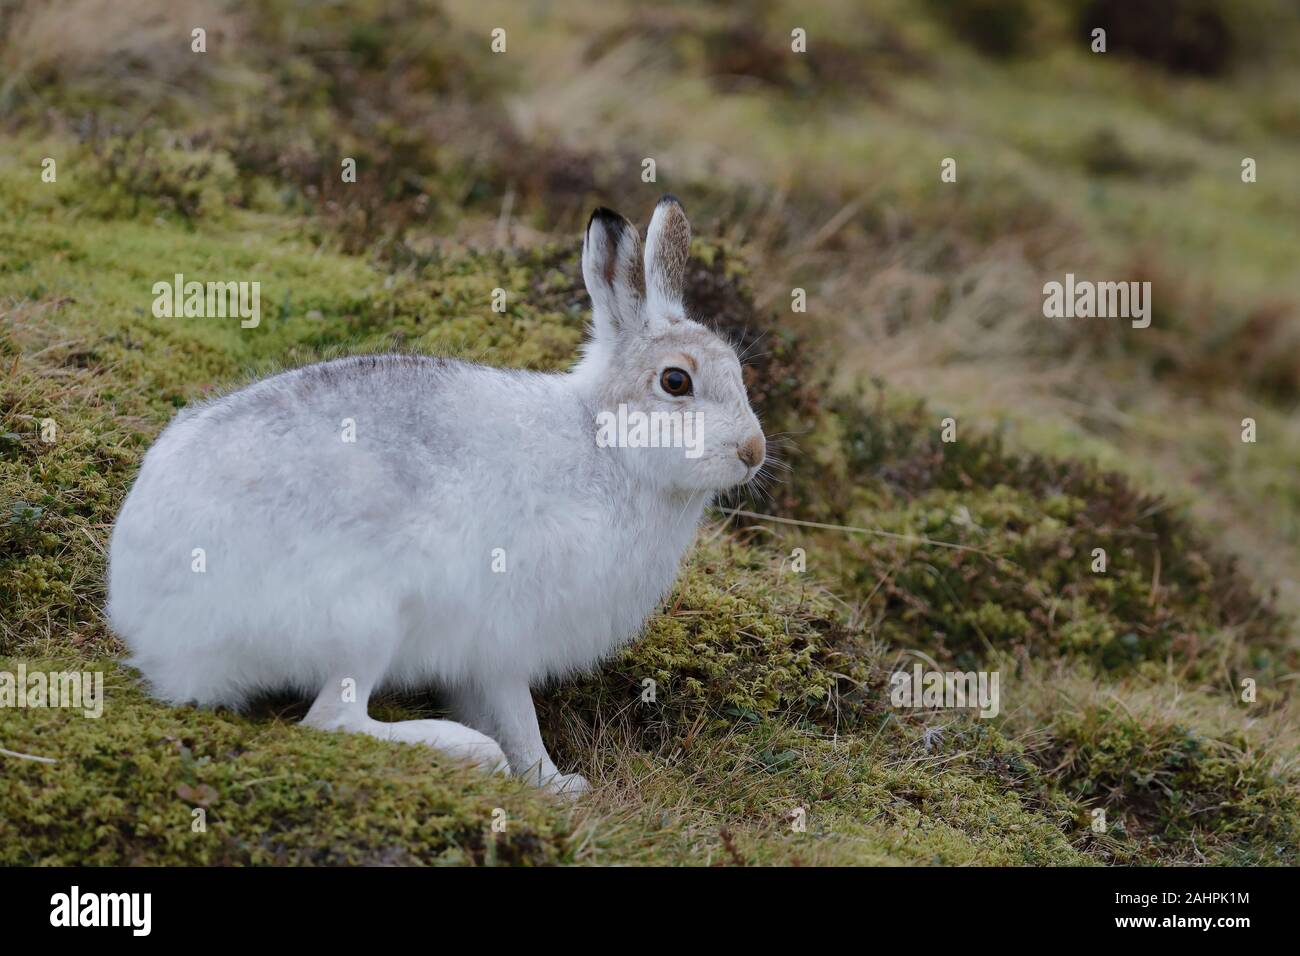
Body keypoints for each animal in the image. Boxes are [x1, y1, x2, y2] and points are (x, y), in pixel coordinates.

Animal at [107, 195, 767, 796]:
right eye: (675, 381)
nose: (753, 451)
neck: (607, 444)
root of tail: (156, 628)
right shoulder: (504, 632)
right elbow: (519, 719)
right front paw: (558, 783)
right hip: (365, 617)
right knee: (332, 719)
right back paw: (463, 749)